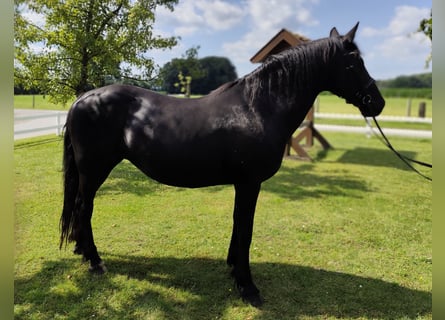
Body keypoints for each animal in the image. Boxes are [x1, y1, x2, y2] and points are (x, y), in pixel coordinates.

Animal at [59, 23, 386, 306]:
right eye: (354, 63)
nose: (378, 103)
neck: (258, 107)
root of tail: (82, 99)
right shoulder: (249, 183)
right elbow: (245, 230)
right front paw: (247, 286)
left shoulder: (243, 184)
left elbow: (237, 225)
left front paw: (232, 268)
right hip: (94, 170)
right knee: (84, 208)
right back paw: (95, 261)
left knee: (80, 209)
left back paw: (81, 250)